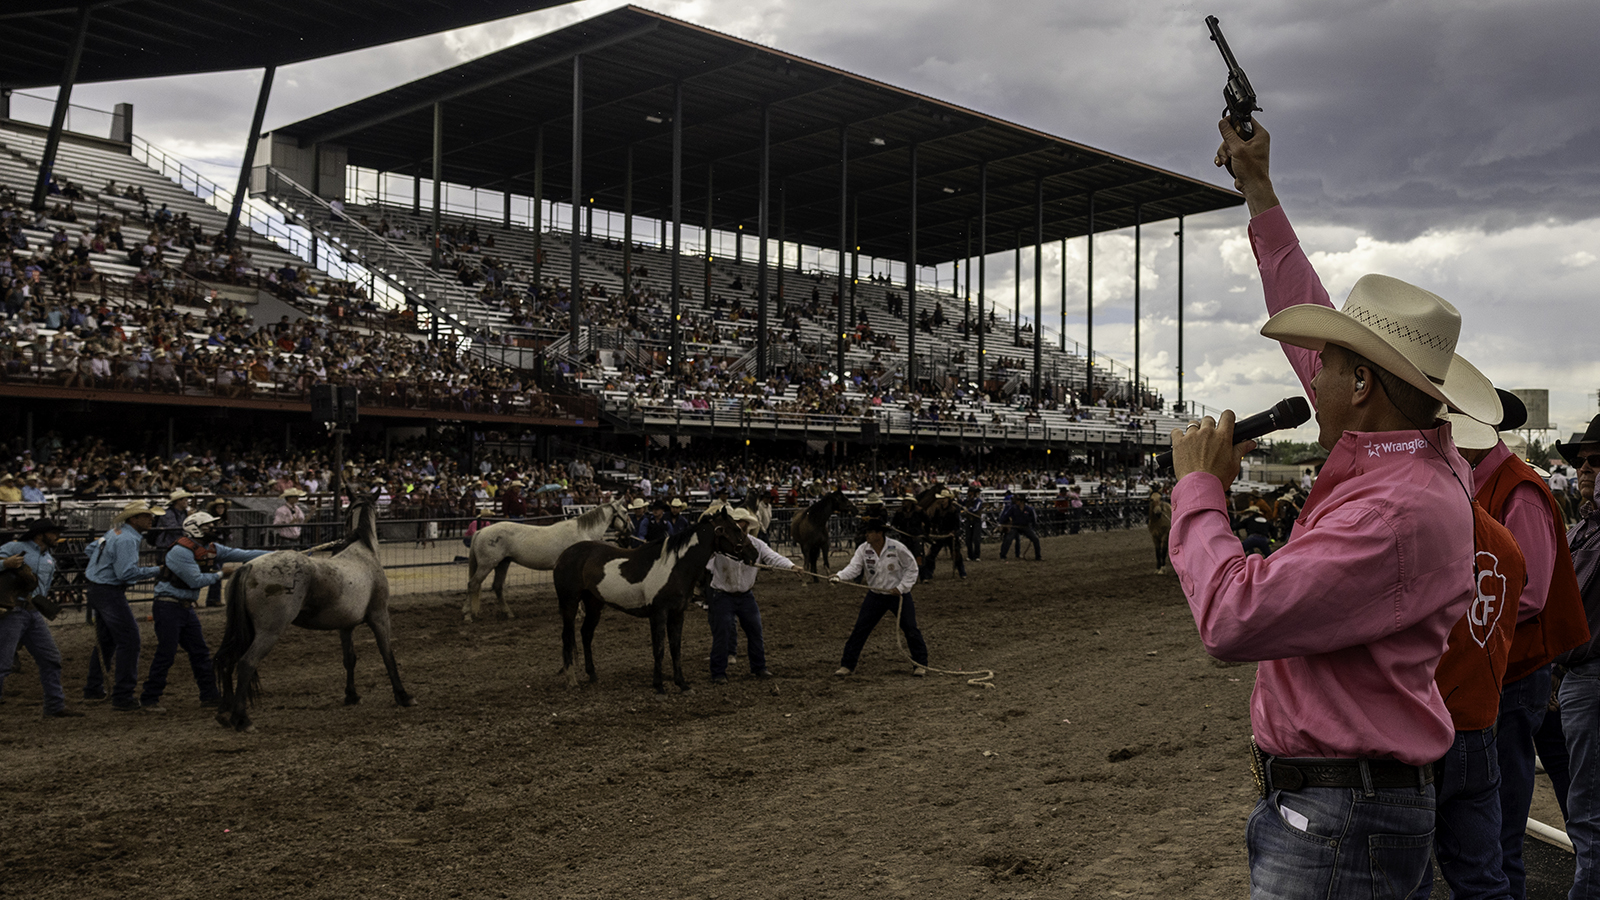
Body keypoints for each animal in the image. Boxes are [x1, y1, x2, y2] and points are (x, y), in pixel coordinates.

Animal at [212, 490, 412, 730]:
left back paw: (225, 711)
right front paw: (402, 695)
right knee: (246, 663)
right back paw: (241, 719)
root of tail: (249, 566)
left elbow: (350, 658)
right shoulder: (380, 617)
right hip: (268, 633)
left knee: (227, 661)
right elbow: (387, 655)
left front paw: (352, 695)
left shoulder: (345, 627)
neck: (364, 552)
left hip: (245, 631)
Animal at [460, 493, 633, 621]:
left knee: (497, 586)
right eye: (625, 511)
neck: (582, 533)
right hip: (487, 565)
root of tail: (481, 531)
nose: (631, 528)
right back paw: (468, 615)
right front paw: (578, 614)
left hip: (503, 563)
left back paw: (508, 613)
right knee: (473, 585)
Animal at [553, 509, 758, 688]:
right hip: (569, 603)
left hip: (594, 604)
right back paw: (572, 681)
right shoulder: (658, 614)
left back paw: (592, 675)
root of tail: (564, 555)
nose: (754, 553)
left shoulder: (677, 614)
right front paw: (659, 685)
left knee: (586, 634)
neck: (674, 567)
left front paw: (681, 684)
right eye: (736, 529)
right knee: (567, 636)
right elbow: (659, 649)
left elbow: (675, 648)